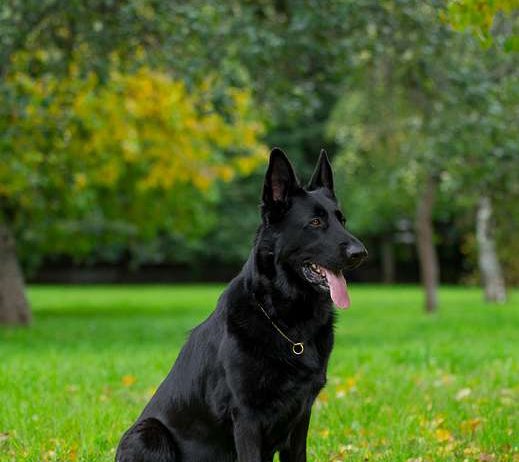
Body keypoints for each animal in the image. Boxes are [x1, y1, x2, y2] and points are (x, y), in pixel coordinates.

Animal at [116, 148, 367, 462]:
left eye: (341, 220)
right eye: (315, 223)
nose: (361, 253)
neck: (287, 325)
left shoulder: (300, 418)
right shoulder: (247, 417)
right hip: (148, 433)